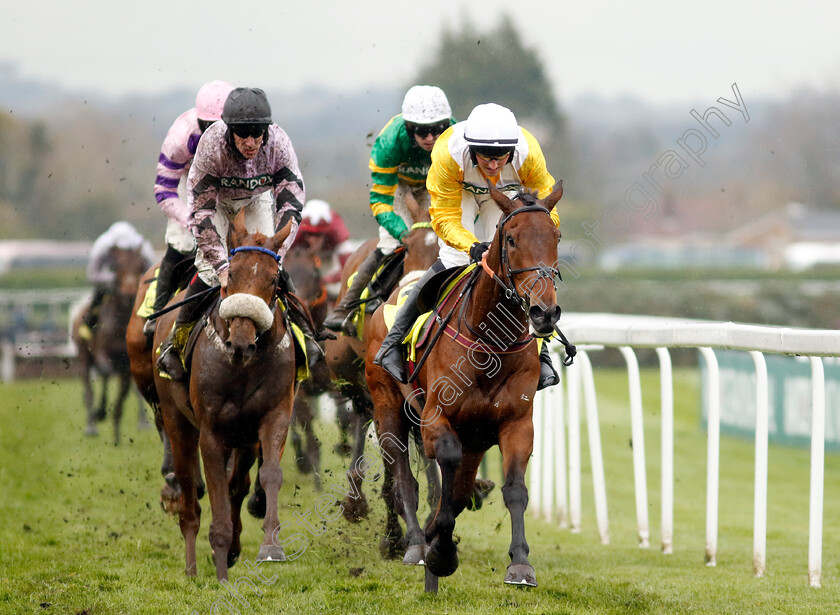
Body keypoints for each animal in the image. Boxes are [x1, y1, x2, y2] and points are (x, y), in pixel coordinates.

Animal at [71, 244, 149, 442]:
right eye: (117, 265)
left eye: (139, 265)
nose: (129, 293)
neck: (120, 322)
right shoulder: (101, 352)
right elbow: (105, 373)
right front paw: (100, 412)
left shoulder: (127, 364)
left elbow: (123, 394)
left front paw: (116, 434)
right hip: (83, 357)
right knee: (90, 389)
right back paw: (92, 424)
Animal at [154, 212, 298, 584]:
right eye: (231, 274)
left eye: (274, 279)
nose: (241, 342)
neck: (243, 365)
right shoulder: (211, 431)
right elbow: (214, 490)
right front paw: (220, 570)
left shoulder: (274, 416)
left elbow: (269, 474)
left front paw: (270, 547)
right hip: (177, 423)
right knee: (190, 500)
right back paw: (192, 569)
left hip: (244, 437)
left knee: (237, 485)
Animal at [362, 182, 564, 592]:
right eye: (512, 239)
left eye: (556, 236)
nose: (544, 312)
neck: (492, 344)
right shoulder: (436, 419)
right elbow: (445, 470)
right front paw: (439, 552)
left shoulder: (516, 423)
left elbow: (511, 490)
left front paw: (520, 564)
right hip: (388, 408)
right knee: (402, 475)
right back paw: (414, 542)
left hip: (475, 437)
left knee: (455, 489)